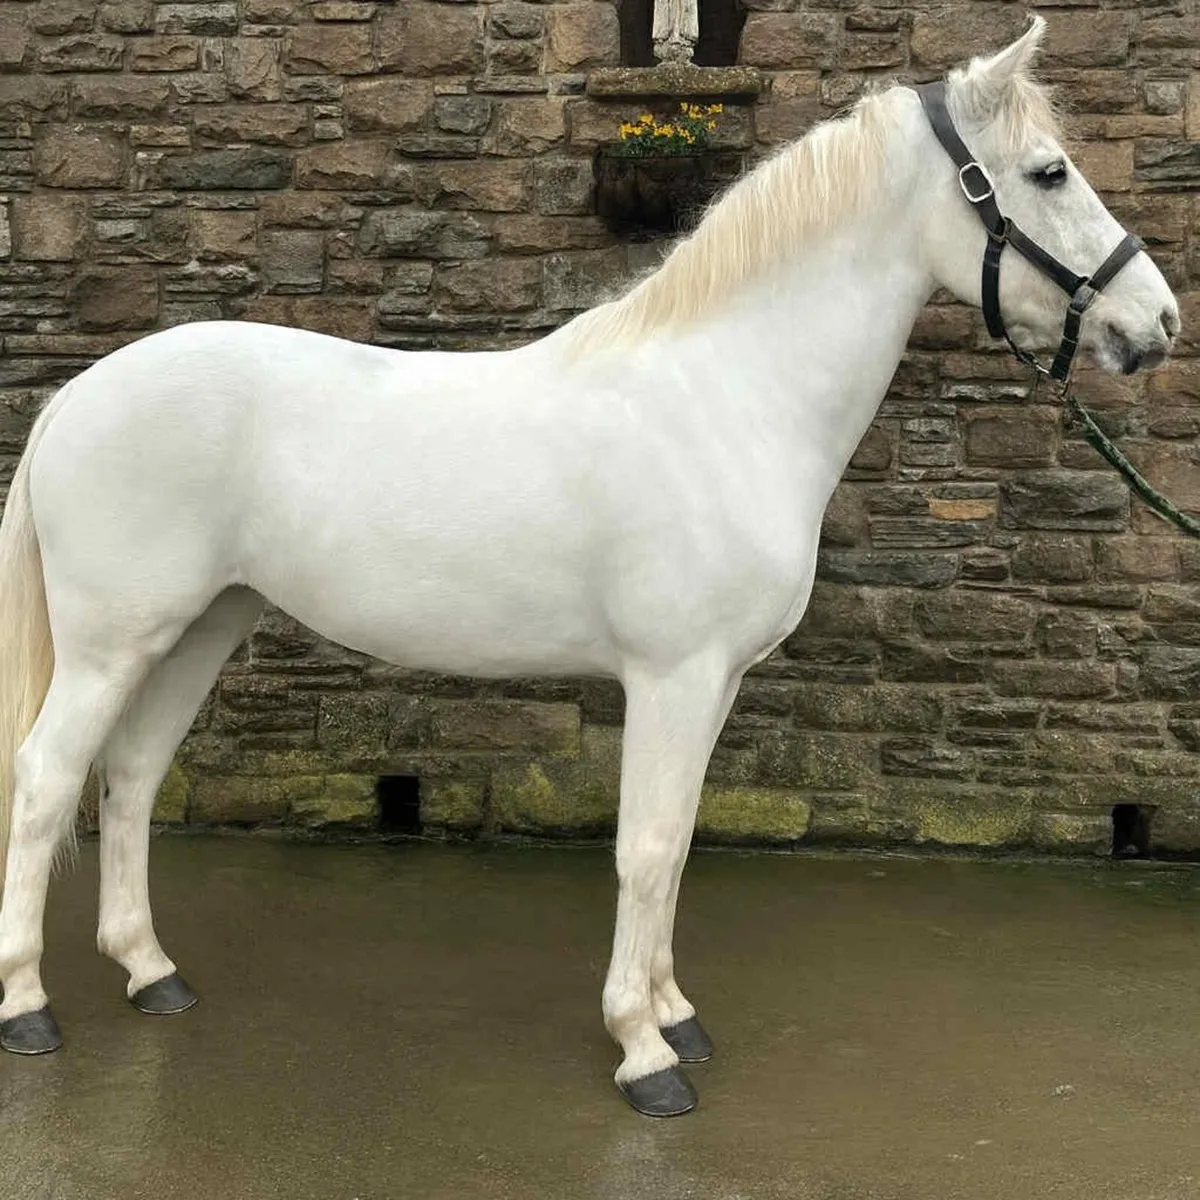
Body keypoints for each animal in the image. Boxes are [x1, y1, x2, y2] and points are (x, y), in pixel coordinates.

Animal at [0, 17, 1179, 1117]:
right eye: (1048, 173)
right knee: (49, 779)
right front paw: (645, 1055)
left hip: (202, 626)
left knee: (132, 774)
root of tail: (78, 396)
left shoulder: (716, 683)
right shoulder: (672, 677)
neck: (730, 395)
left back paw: (151, 973)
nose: (1157, 323)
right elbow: (647, 848)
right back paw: (28, 1009)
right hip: (114, 643)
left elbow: (680, 844)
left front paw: (676, 1015)